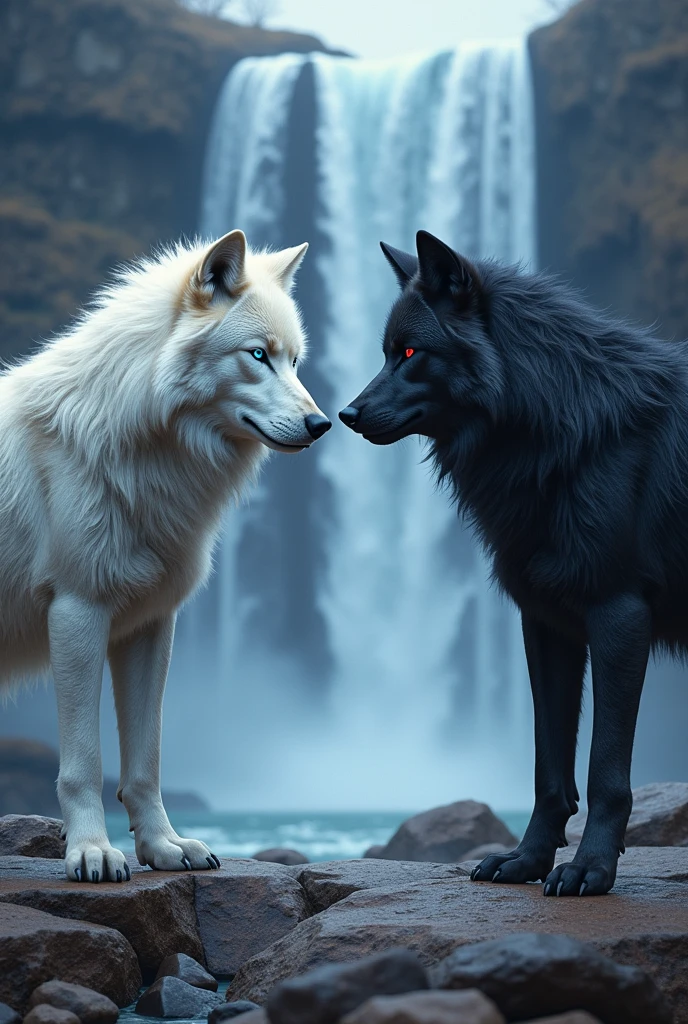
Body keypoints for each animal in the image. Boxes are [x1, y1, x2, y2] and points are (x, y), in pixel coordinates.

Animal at [0, 230, 329, 880]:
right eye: (258, 355)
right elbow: (84, 763)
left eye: (295, 361)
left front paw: (162, 848)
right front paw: (92, 852)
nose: (321, 423)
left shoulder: (149, 624)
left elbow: (145, 761)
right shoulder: (77, 612)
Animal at [339, 232, 688, 897]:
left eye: (412, 352)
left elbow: (604, 770)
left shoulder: (618, 616)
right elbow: (548, 769)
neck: (562, 428)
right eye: (385, 353)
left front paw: (590, 869)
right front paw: (526, 861)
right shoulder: (546, 621)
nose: (343, 416)